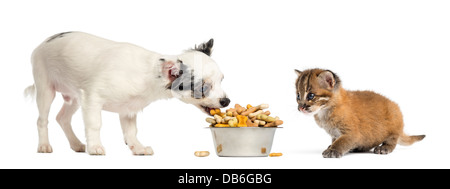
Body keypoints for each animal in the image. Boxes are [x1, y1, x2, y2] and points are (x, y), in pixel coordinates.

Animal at [24, 31, 230, 155]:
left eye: (222, 80)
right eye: (203, 88)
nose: (226, 101)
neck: (148, 76)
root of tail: (42, 43)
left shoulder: (128, 109)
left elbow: (131, 131)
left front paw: (137, 148)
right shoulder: (92, 99)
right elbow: (95, 125)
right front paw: (95, 147)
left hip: (73, 97)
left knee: (62, 118)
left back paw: (76, 144)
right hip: (45, 89)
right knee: (42, 120)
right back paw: (44, 145)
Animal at [296, 68, 426, 157]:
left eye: (311, 95)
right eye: (298, 95)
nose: (300, 107)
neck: (324, 111)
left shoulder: (353, 133)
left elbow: (341, 141)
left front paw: (332, 150)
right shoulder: (335, 134)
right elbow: (336, 140)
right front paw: (331, 146)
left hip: (394, 124)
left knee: (393, 139)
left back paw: (384, 148)